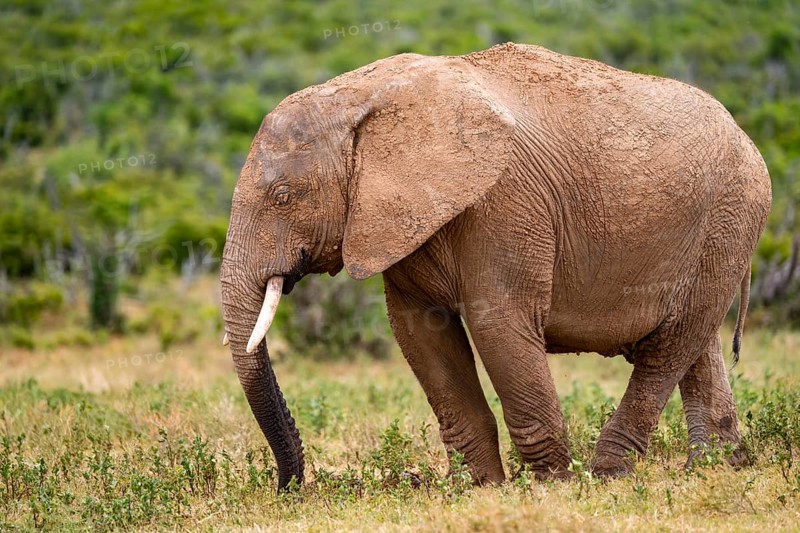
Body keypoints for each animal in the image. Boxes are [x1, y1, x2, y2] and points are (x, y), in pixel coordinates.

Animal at [220, 43, 771, 491]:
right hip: (717, 231)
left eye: (283, 196)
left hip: (731, 217)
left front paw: (550, 486)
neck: (361, 94)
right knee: (696, 345)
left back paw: (608, 475)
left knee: (669, 347)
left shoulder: (502, 205)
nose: (289, 488)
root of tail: (748, 137)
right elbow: (422, 334)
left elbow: (498, 325)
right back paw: (716, 469)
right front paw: (478, 487)